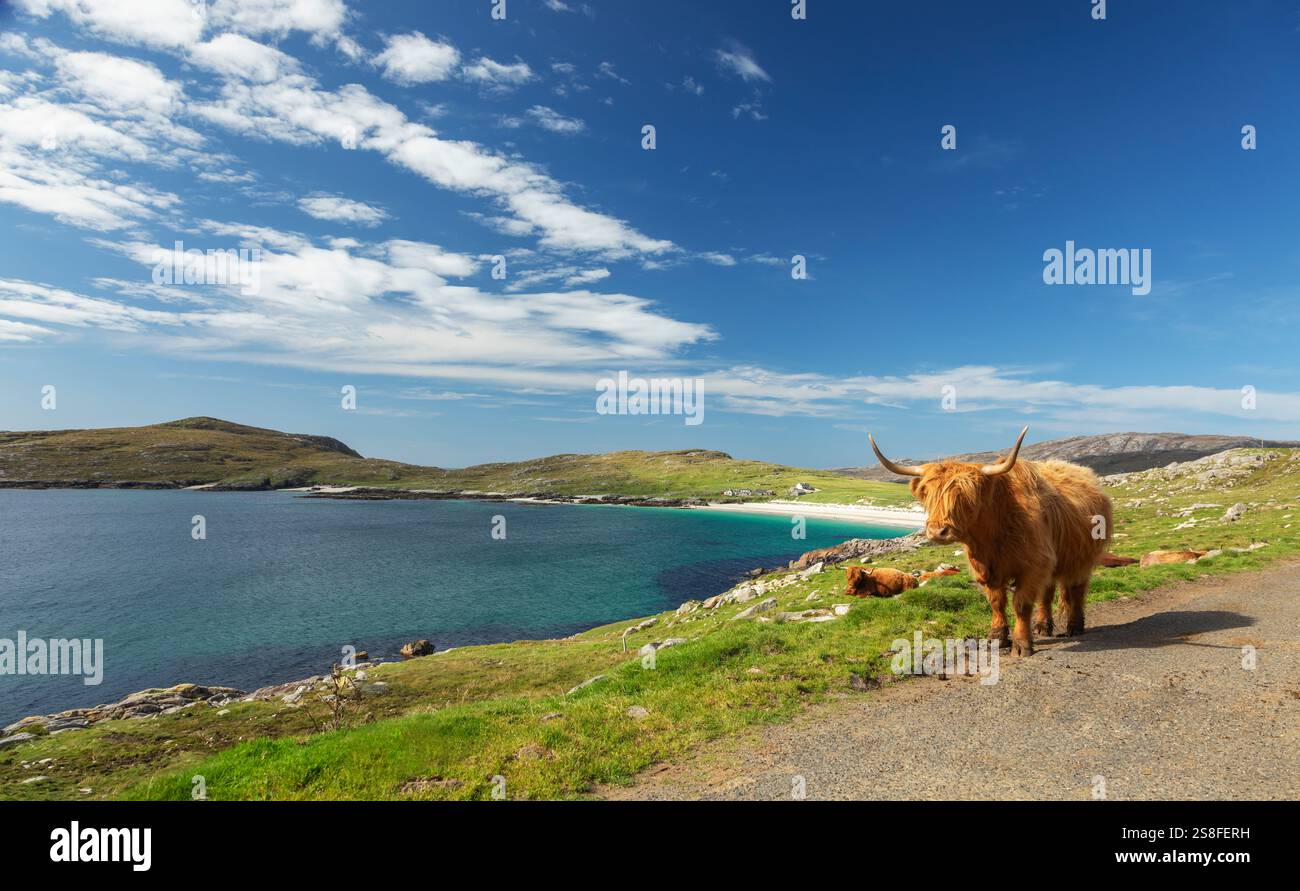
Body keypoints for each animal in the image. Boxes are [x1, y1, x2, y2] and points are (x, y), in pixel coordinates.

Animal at [869, 427, 1112, 656]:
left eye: (966, 495)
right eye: (927, 493)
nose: (937, 531)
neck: (990, 538)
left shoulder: (1032, 566)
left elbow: (1021, 605)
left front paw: (1022, 644)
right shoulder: (988, 569)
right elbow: (997, 602)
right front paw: (997, 637)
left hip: (1082, 559)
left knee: (1077, 589)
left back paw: (1074, 626)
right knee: (1048, 592)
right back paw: (1043, 626)